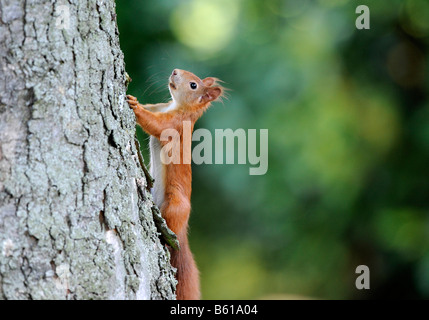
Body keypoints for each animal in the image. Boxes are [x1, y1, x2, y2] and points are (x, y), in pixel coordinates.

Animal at [124, 68, 222, 300]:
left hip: (176, 205)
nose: (175, 71)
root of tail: (183, 233)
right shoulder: (161, 107)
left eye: (194, 85)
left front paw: (135, 106)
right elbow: (152, 109)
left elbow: (156, 124)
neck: (176, 106)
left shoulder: (174, 125)